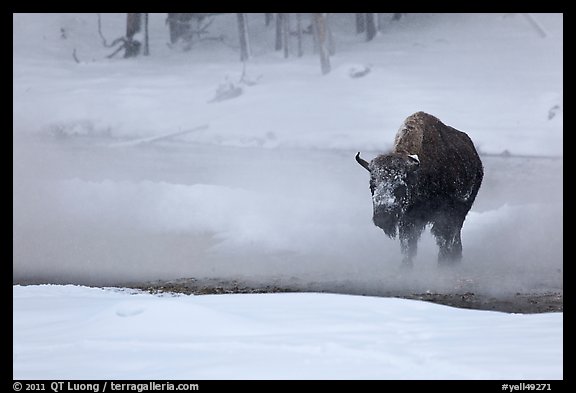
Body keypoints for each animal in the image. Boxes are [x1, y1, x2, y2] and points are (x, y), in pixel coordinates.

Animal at [356, 112, 482, 268]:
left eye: (400, 186)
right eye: (372, 185)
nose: (383, 218)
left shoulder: (445, 215)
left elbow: (443, 239)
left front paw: (442, 264)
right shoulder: (408, 219)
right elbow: (408, 244)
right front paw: (405, 266)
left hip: (462, 210)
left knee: (455, 233)